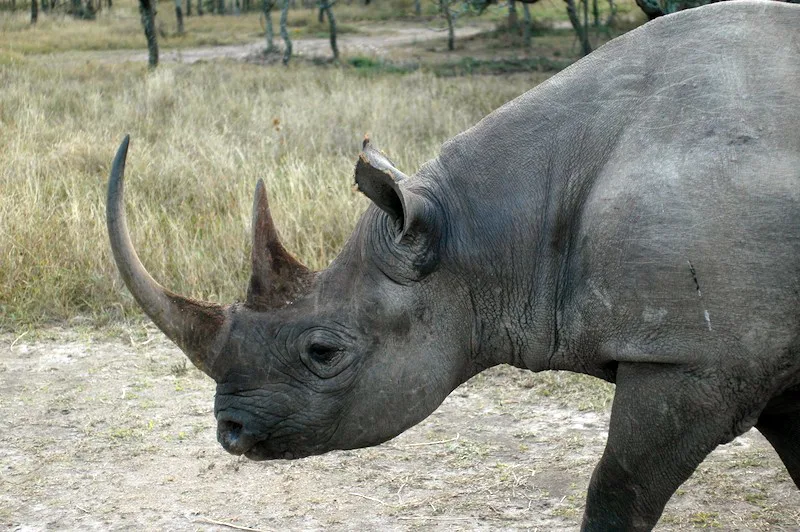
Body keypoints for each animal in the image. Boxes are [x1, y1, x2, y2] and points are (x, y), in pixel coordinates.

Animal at [107, 1, 799, 529]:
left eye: (323, 353)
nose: (231, 431)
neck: (483, 227)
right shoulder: (765, 359)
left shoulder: (693, 360)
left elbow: (617, 489)